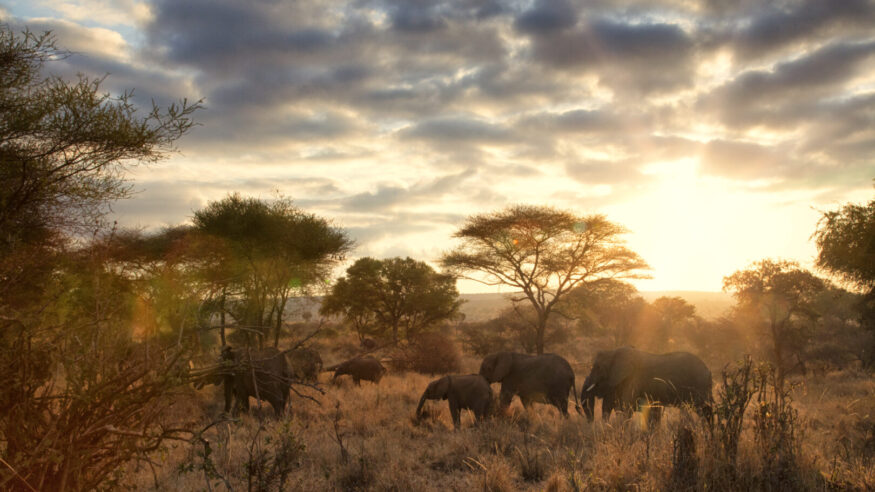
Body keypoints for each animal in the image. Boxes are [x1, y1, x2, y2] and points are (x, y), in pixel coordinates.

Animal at [580, 347, 712, 423]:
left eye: (598, 367)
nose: (590, 422)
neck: (614, 352)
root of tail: (708, 370)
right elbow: (609, 406)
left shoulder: (633, 379)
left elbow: (626, 407)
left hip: (699, 386)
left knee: (703, 410)